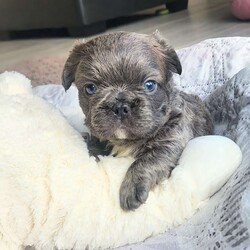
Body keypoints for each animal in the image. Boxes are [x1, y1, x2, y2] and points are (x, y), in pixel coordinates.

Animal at [61, 30, 212, 211]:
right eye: (90, 88)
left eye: (150, 85)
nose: (120, 106)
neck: (126, 141)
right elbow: (93, 146)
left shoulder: (172, 138)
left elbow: (149, 159)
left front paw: (131, 187)